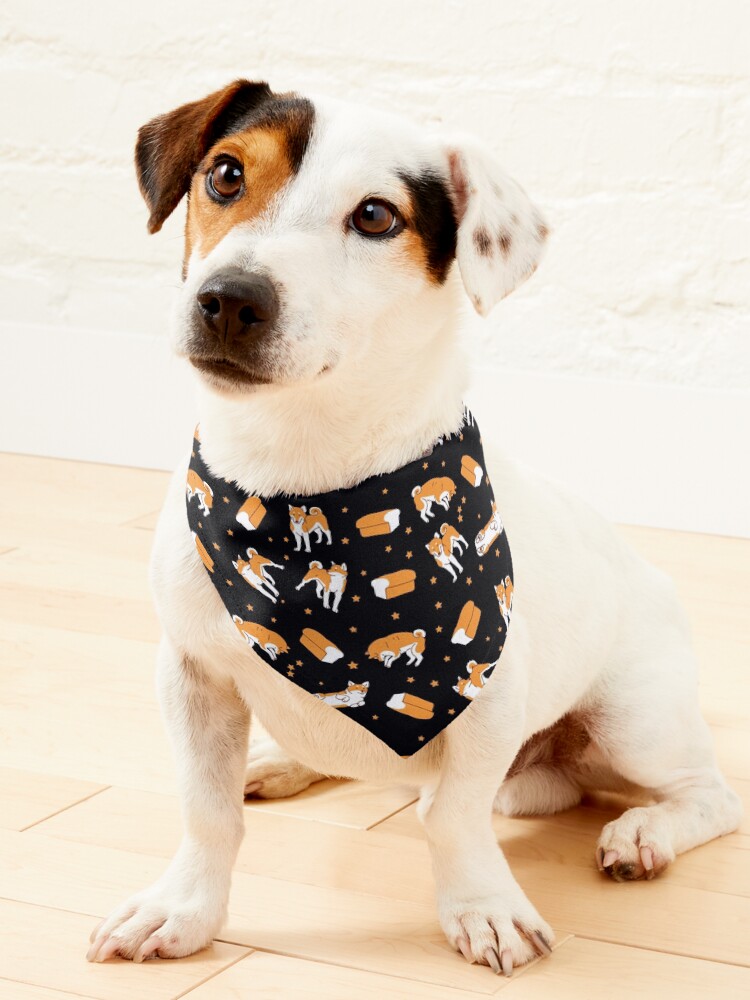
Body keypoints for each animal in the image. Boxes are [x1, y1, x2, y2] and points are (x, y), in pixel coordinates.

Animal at [86, 80, 740, 976]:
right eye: (225, 174)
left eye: (375, 216)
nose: (230, 298)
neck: (300, 484)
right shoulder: (191, 677)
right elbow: (206, 810)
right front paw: (183, 909)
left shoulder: (488, 697)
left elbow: (454, 817)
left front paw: (483, 908)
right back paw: (283, 762)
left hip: (635, 719)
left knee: (708, 796)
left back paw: (644, 833)